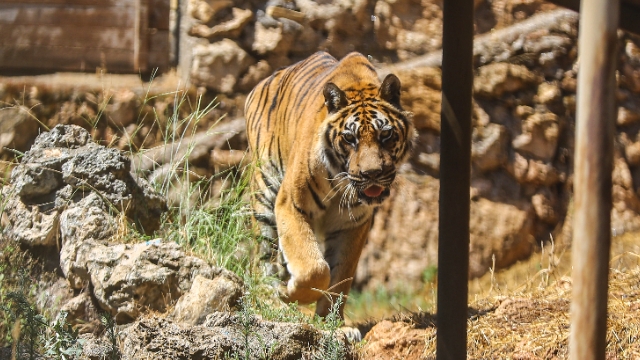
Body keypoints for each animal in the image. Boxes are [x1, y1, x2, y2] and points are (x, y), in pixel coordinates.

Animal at [245, 50, 416, 318]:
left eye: (385, 134)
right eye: (350, 138)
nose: (372, 174)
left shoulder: (353, 223)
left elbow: (340, 276)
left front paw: (331, 321)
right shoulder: (290, 204)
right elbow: (314, 269)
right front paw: (290, 294)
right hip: (264, 194)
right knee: (263, 257)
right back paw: (270, 298)